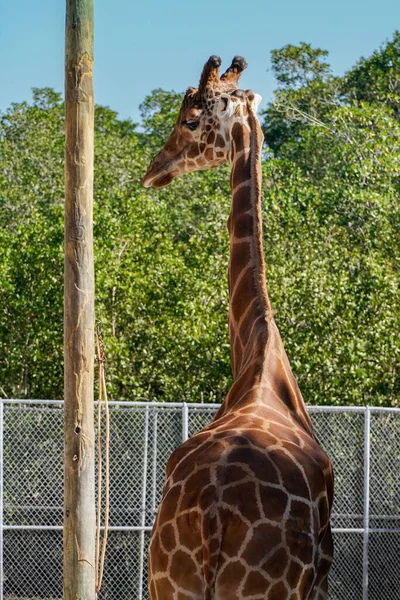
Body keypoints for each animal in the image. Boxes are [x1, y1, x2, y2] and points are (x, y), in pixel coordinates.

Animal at [142, 56, 332, 600]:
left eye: (189, 120)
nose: (154, 170)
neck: (257, 349)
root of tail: (212, 512)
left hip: (169, 582)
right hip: (258, 590)